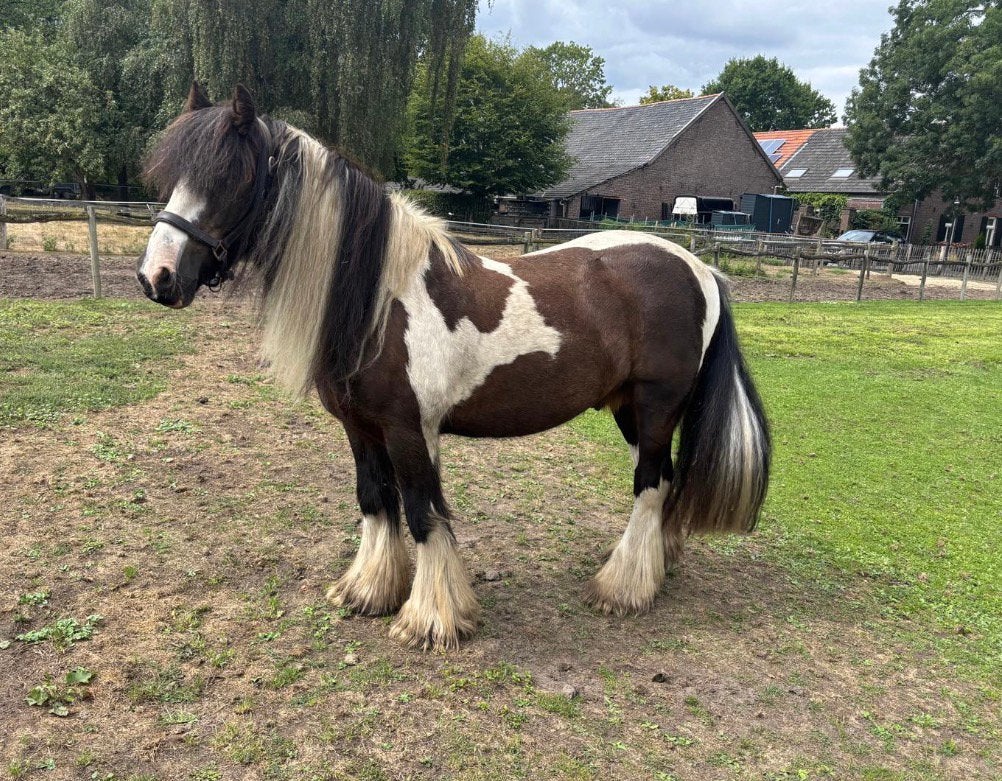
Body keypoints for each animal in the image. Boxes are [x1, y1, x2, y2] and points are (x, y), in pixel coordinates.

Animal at [137, 83, 771, 651]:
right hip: (628, 409)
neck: (380, 299)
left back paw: (622, 588)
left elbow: (422, 512)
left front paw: (431, 619)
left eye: (231, 177)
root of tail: (699, 268)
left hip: (657, 404)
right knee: (663, 483)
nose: (156, 278)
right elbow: (375, 499)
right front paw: (369, 590)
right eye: (172, 177)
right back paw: (655, 567)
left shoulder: (408, 428)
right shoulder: (359, 427)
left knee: (650, 484)